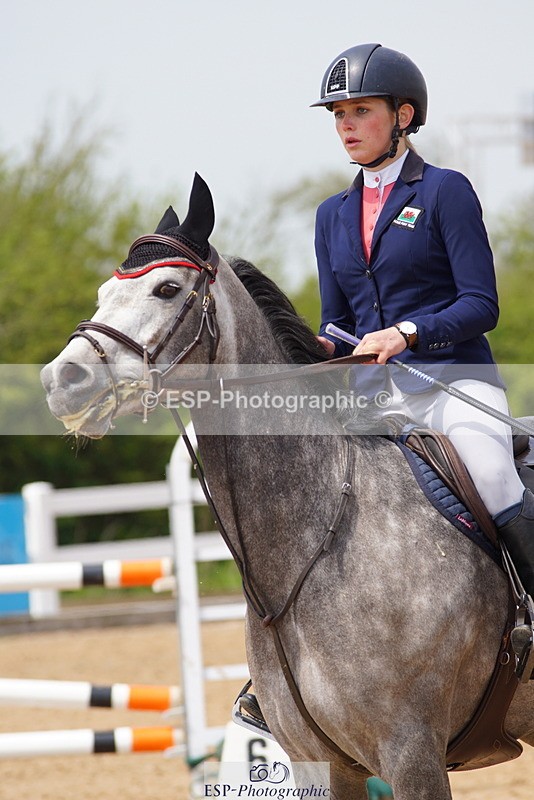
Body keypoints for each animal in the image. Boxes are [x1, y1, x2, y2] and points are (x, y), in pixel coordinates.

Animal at [41, 174, 534, 799]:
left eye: (168, 289)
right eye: (105, 291)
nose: (62, 381)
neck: (313, 539)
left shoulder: (413, 754)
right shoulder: (320, 763)